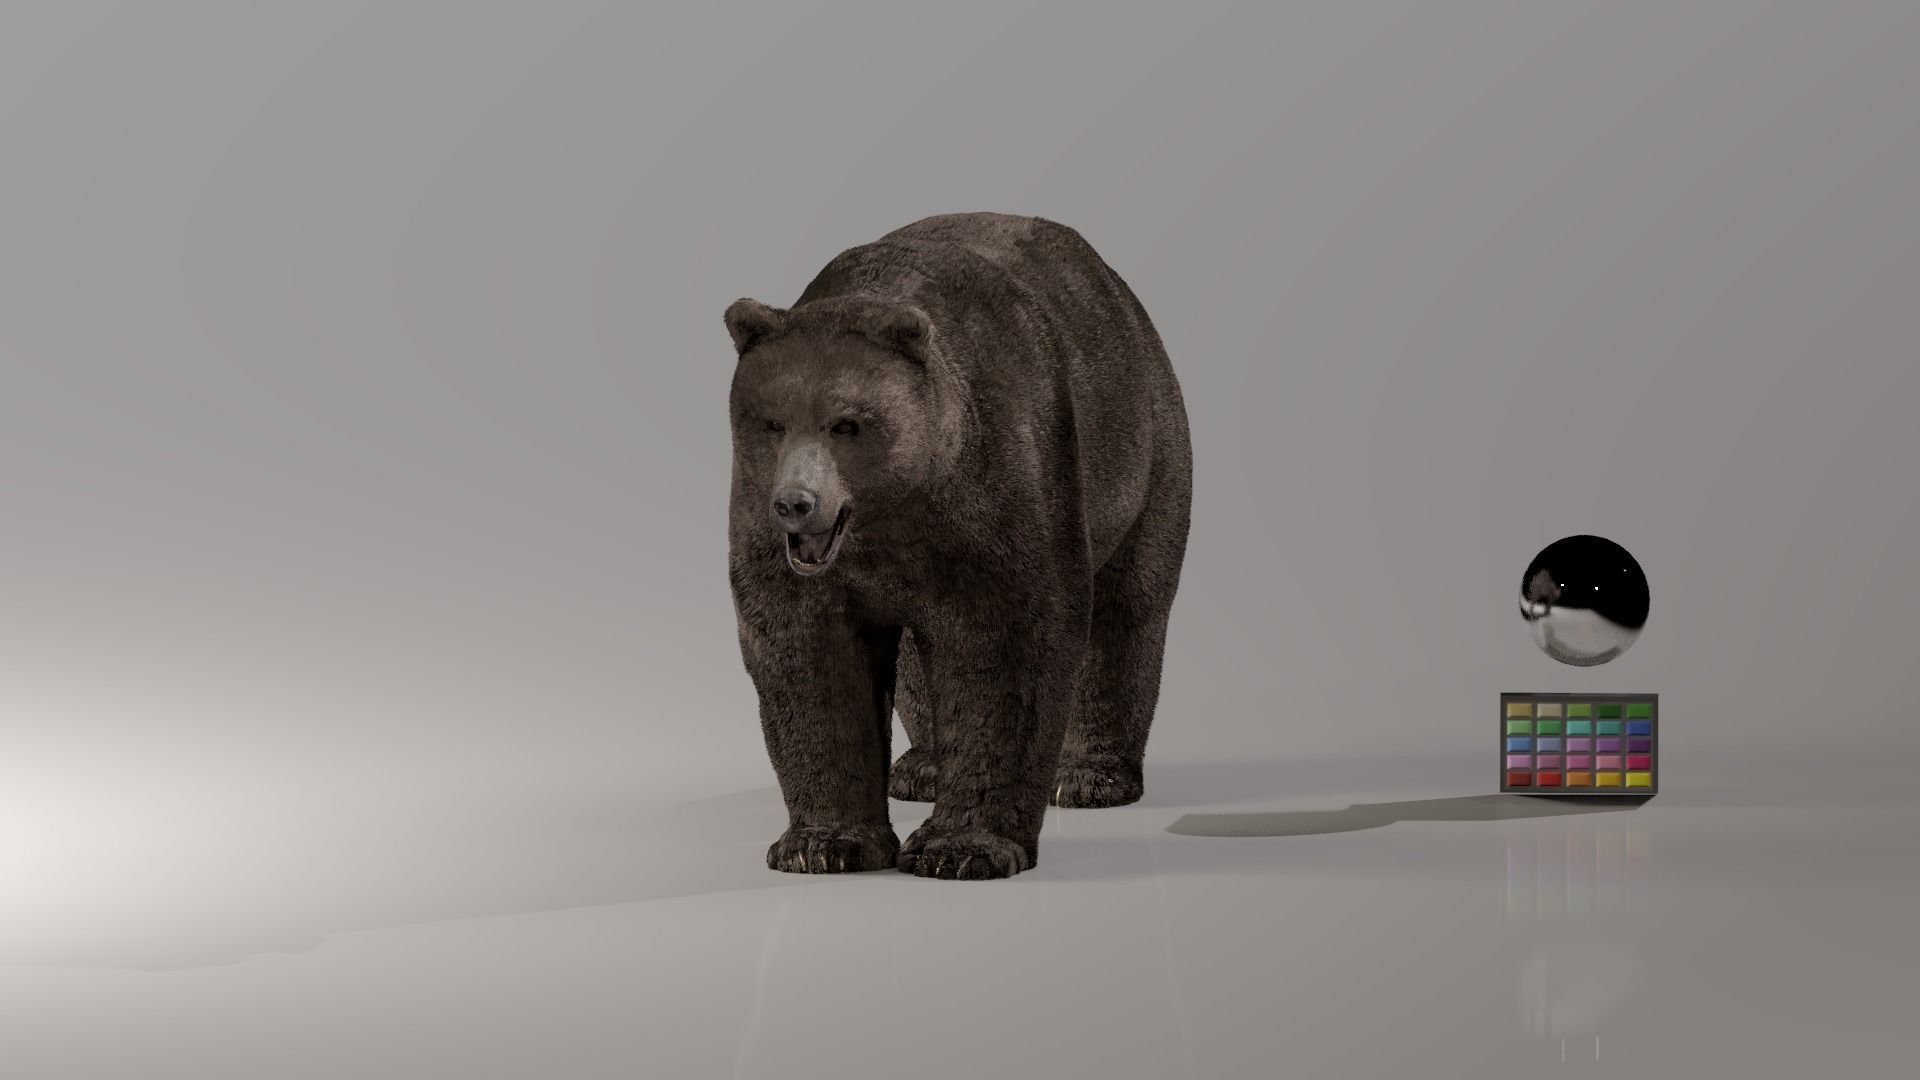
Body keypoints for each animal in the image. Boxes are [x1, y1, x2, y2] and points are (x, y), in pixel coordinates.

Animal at [724, 212, 1191, 880]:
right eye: (771, 421)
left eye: (846, 423)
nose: (796, 502)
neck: (892, 513)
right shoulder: (769, 527)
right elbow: (807, 650)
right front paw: (822, 842)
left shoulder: (998, 479)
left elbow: (1005, 641)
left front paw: (962, 847)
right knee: (913, 657)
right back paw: (921, 768)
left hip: (1142, 451)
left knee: (1127, 608)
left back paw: (1087, 775)